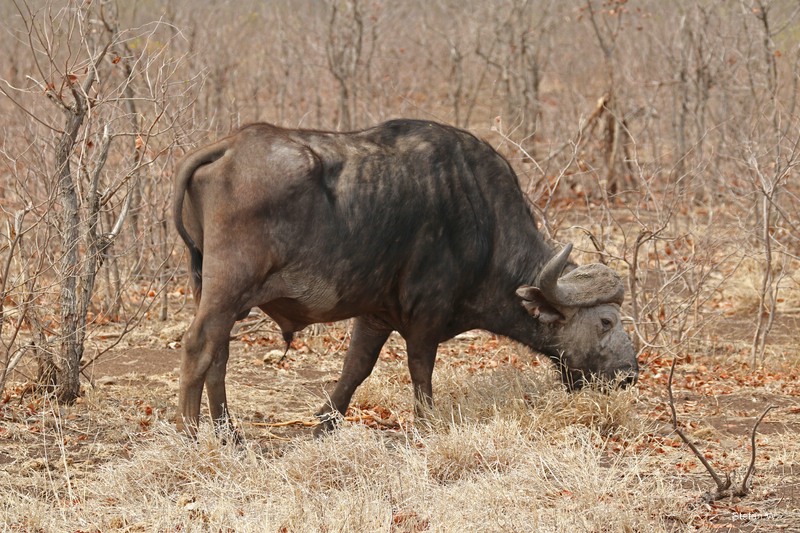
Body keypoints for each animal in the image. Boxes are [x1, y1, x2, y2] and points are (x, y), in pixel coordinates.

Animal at [172, 119, 638, 437]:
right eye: (606, 321)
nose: (630, 374)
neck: (483, 221)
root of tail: (230, 146)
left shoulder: (375, 315)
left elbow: (356, 367)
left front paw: (326, 420)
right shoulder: (427, 314)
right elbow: (420, 369)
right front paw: (427, 423)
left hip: (213, 291)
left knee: (219, 354)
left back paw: (228, 432)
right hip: (227, 287)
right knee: (198, 346)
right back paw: (191, 433)